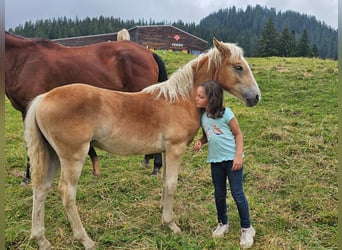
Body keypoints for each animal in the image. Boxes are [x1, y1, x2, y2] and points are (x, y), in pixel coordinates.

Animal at [23, 38, 260, 249]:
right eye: (238, 67)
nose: (256, 97)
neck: (179, 100)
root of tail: (43, 98)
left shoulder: (165, 151)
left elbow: (164, 183)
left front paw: (164, 219)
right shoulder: (175, 148)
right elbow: (171, 184)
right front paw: (172, 225)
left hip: (52, 155)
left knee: (41, 188)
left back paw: (41, 240)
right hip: (72, 156)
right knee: (66, 193)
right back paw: (86, 240)